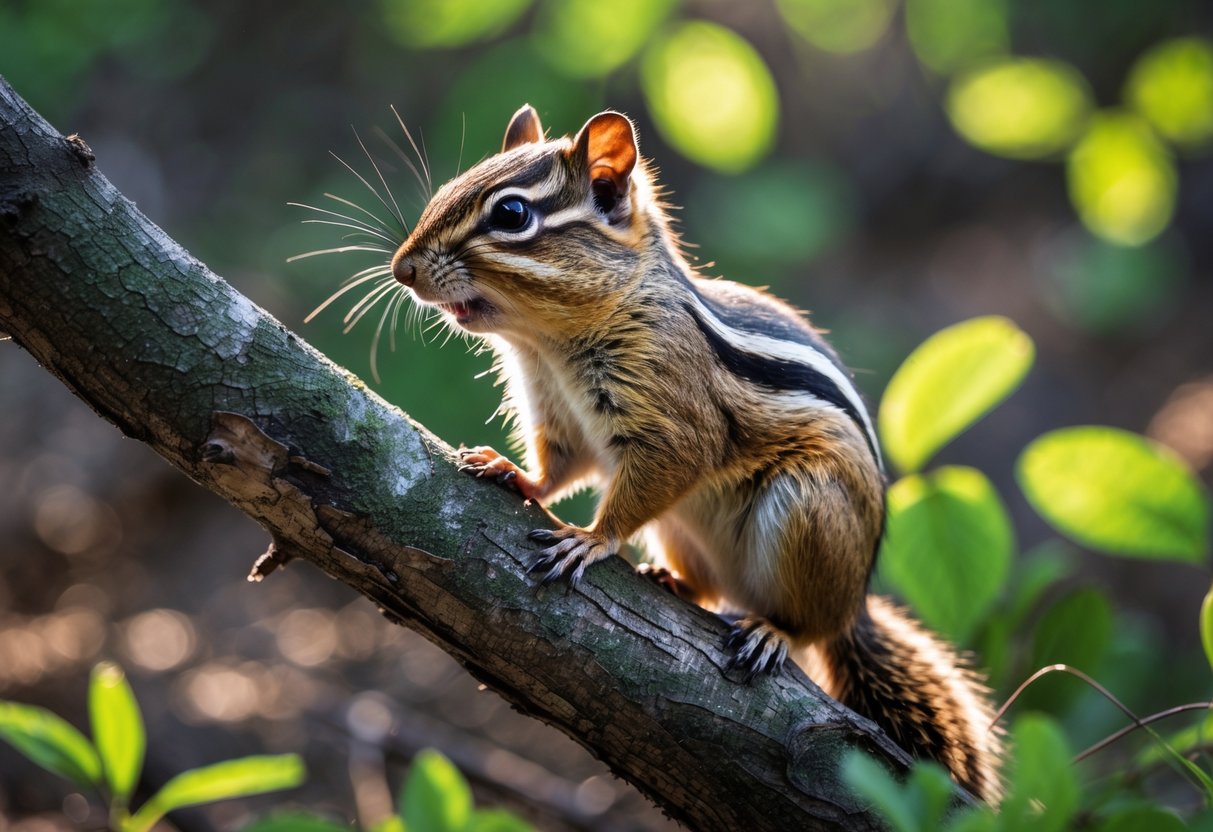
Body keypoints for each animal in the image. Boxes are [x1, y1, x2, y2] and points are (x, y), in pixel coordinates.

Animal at [387, 104, 1002, 801]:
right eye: (446, 190)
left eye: (512, 214)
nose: (402, 269)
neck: (550, 345)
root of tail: (854, 605)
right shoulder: (559, 416)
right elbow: (559, 468)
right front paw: (509, 471)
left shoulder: (674, 418)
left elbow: (664, 467)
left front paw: (590, 540)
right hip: (683, 527)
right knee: (709, 587)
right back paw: (673, 580)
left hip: (808, 507)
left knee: (808, 623)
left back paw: (772, 630)